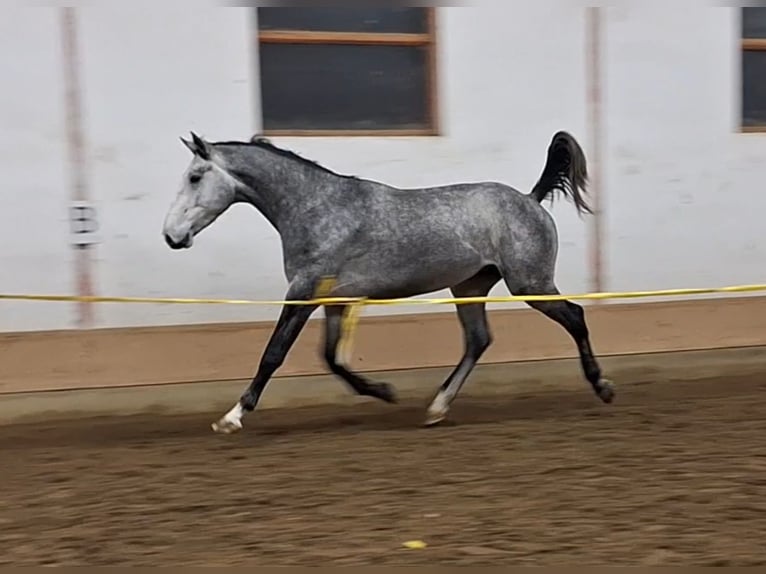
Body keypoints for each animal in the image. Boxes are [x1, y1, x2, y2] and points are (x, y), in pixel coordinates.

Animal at [162, 130, 614, 434]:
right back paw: (436, 408)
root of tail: (530, 199)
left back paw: (603, 386)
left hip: (529, 283)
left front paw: (231, 417)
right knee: (478, 340)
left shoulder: (304, 291)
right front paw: (385, 391)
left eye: (196, 176)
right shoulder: (335, 301)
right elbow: (332, 359)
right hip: (470, 286)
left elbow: (274, 354)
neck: (318, 209)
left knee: (575, 316)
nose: (171, 236)